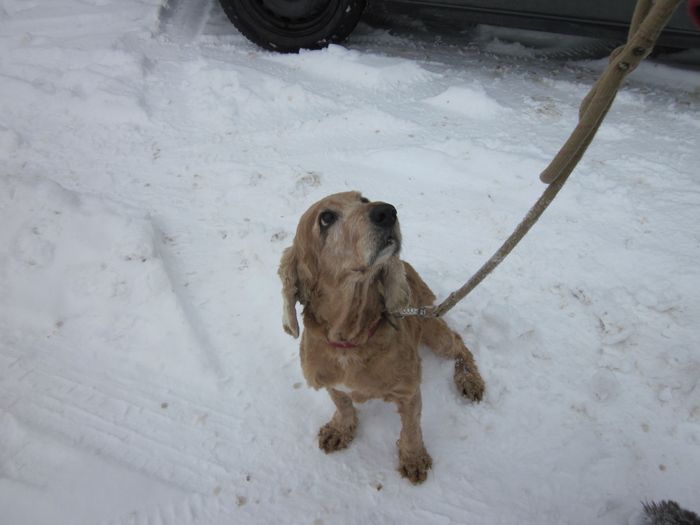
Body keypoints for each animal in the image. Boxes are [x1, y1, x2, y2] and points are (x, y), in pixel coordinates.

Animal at [276, 190, 484, 482]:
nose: (387, 211)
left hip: (432, 327)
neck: (350, 340)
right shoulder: (329, 381)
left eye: (363, 199)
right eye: (326, 218)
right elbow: (343, 404)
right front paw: (340, 429)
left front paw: (413, 457)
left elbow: (411, 428)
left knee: (459, 344)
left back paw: (470, 380)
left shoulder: (409, 391)